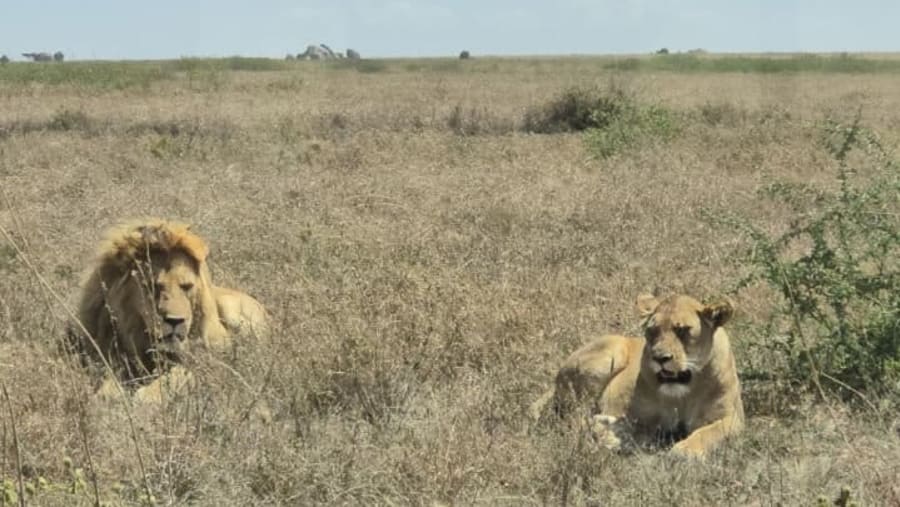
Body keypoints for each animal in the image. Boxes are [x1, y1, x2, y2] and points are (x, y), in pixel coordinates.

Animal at [67, 218, 269, 400]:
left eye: (187, 287)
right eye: (152, 286)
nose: (174, 321)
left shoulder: (202, 361)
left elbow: (173, 378)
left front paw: (146, 398)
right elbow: (111, 378)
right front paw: (108, 395)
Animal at [529, 293, 744, 459]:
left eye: (682, 330)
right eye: (651, 330)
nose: (659, 358)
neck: (684, 392)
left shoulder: (733, 418)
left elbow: (709, 432)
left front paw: (684, 451)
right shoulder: (637, 417)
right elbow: (637, 431)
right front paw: (610, 435)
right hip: (611, 353)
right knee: (571, 417)